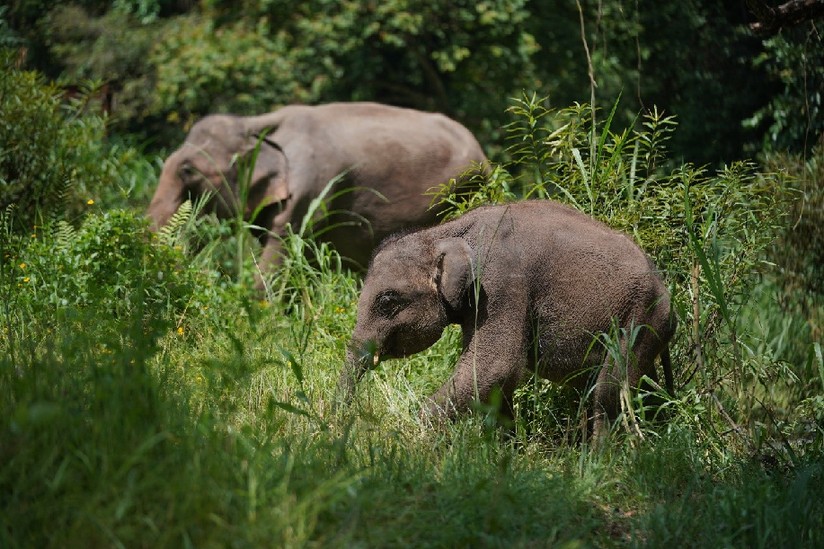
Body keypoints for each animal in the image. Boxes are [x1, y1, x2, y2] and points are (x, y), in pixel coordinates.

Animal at [336, 199, 676, 430]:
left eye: (387, 302)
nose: (340, 420)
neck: (445, 232)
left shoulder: (501, 282)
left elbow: (494, 365)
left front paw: (413, 435)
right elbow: (495, 380)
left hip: (642, 316)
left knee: (607, 393)